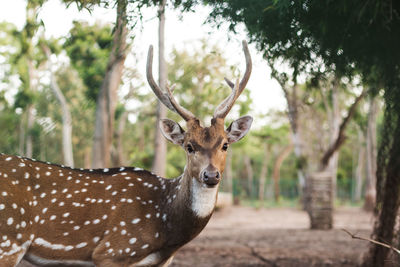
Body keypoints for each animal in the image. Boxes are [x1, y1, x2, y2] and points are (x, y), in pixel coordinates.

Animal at [0, 40, 250, 267]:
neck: (166, 229)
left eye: (225, 144)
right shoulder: (112, 251)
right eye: (189, 146)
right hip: (9, 240)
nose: (211, 175)